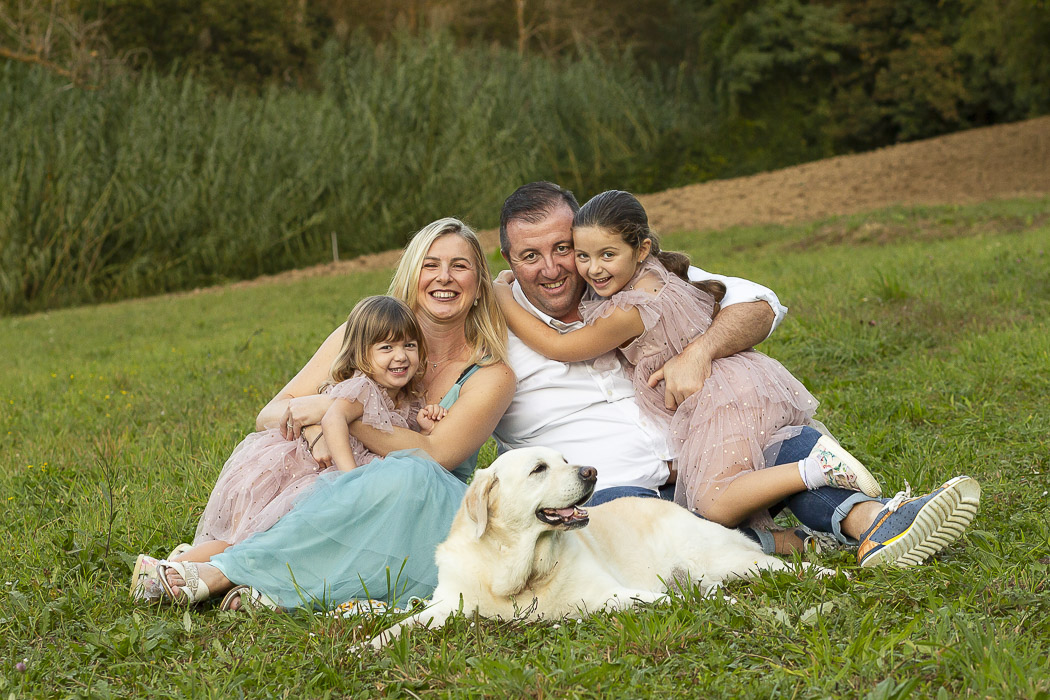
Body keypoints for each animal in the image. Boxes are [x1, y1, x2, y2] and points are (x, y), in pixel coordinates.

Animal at [369, 449, 827, 646]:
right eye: (539, 468)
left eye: (564, 459)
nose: (591, 471)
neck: (519, 572)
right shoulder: (447, 606)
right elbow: (397, 626)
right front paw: (362, 648)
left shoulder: (613, 595)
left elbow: (660, 601)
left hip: (731, 561)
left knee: (787, 568)